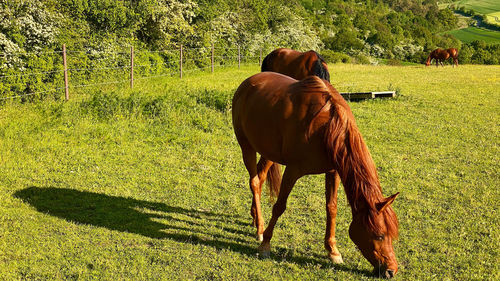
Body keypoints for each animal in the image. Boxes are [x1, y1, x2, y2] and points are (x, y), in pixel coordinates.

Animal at [232, 72, 400, 278]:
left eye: (392, 235)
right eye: (379, 235)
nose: (391, 271)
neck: (327, 126)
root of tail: (248, 82)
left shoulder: (333, 172)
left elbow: (332, 208)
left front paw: (333, 251)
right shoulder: (292, 170)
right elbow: (279, 207)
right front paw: (265, 245)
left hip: (268, 152)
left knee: (261, 177)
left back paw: (256, 220)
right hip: (246, 146)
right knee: (254, 182)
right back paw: (260, 229)